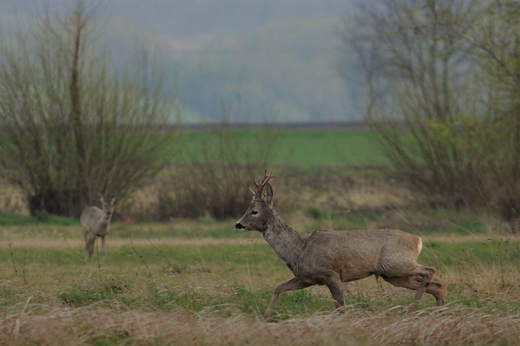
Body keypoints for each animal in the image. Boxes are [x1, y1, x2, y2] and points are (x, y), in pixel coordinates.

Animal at [236, 172, 442, 320]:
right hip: (392, 274)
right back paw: (438, 310)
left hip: (396, 263)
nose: (238, 224)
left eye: (254, 211)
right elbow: (278, 288)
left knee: (430, 271)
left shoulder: (331, 273)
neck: (298, 249)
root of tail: (417, 240)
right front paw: (266, 316)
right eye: (246, 209)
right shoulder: (306, 278)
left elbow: (340, 306)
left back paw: (412, 310)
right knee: (436, 284)